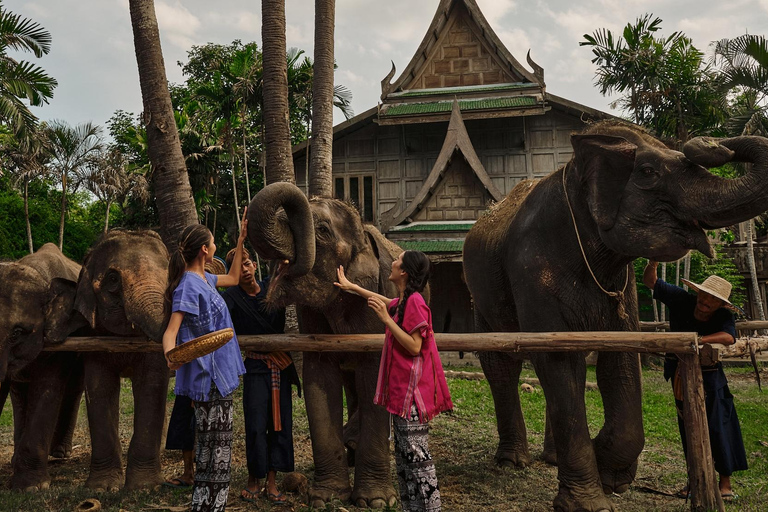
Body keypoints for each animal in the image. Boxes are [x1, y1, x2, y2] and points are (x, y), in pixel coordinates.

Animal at [0, 244, 85, 492]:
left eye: (17, 333)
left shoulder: (59, 340)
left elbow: (48, 388)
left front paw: (31, 487)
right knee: (19, 394)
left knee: (74, 388)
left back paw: (59, 453)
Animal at [50, 230, 171, 490]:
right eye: (113, 280)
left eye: (171, 276)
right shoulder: (93, 336)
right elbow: (100, 387)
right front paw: (102, 487)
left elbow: (152, 385)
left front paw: (144, 487)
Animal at [249, 183, 412, 508]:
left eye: (322, 230)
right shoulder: (310, 316)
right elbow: (319, 375)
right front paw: (325, 498)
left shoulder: (380, 298)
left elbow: (375, 373)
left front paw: (375, 502)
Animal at [460, 121, 768, 512]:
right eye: (648, 172)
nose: (713, 143)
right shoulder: (529, 266)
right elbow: (557, 358)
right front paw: (588, 501)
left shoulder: (623, 285)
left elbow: (621, 356)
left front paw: (611, 475)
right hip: (479, 293)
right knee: (501, 365)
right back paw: (512, 462)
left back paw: (552, 460)